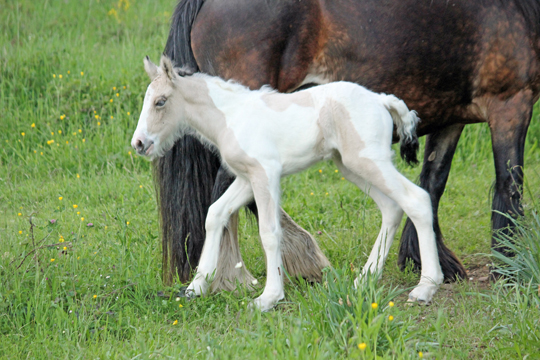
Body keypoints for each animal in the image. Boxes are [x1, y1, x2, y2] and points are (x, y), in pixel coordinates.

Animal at [131, 55, 442, 310]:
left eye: (161, 101)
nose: (138, 143)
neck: (231, 116)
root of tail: (381, 100)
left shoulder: (265, 174)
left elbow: (269, 232)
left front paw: (269, 297)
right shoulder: (246, 178)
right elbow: (215, 213)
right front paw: (197, 286)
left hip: (369, 161)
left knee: (416, 199)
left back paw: (425, 287)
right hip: (351, 166)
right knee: (392, 208)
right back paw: (364, 280)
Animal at [153, 0, 540, 286]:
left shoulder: (453, 118)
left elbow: (434, 182)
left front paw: (429, 260)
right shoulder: (511, 102)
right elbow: (509, 184)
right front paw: (509, 267)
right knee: (227, 193)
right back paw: (238, 276)